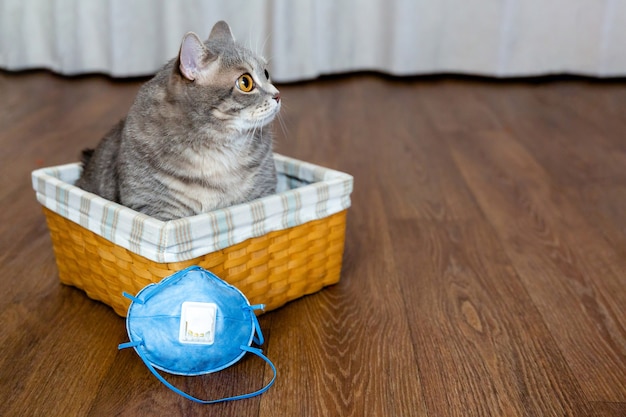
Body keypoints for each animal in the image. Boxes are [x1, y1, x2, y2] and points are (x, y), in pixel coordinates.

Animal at [74, 21, 280, 221]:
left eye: (266, 73)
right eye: (245, 83)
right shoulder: (157, 209)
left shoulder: (263, 192)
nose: (278, 95)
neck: (218, 149)